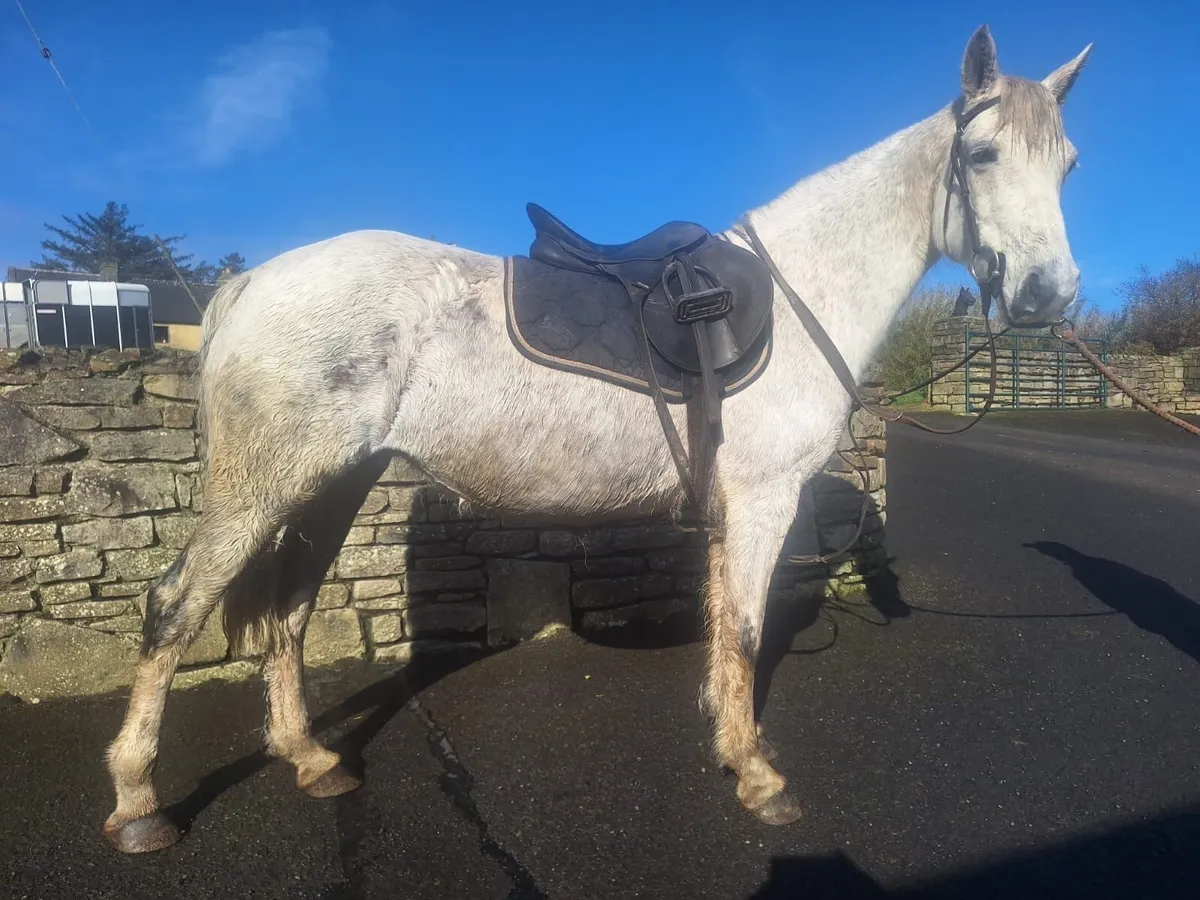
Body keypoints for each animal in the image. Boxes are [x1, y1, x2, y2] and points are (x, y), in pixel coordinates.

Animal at [101, 24, 1092, 853]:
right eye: (982, 154)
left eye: (1069, 165)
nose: (1049, 294)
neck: (800, 290)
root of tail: (254, 281)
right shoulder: (765, 498)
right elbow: (743, 628)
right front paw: (760, 777)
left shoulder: (733, 506)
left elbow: (723, 627)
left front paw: (730, 746)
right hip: (261, 488)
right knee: (174, 608)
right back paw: (140, 802)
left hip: (332, 486)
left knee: (290, 612)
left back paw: (310, 761)